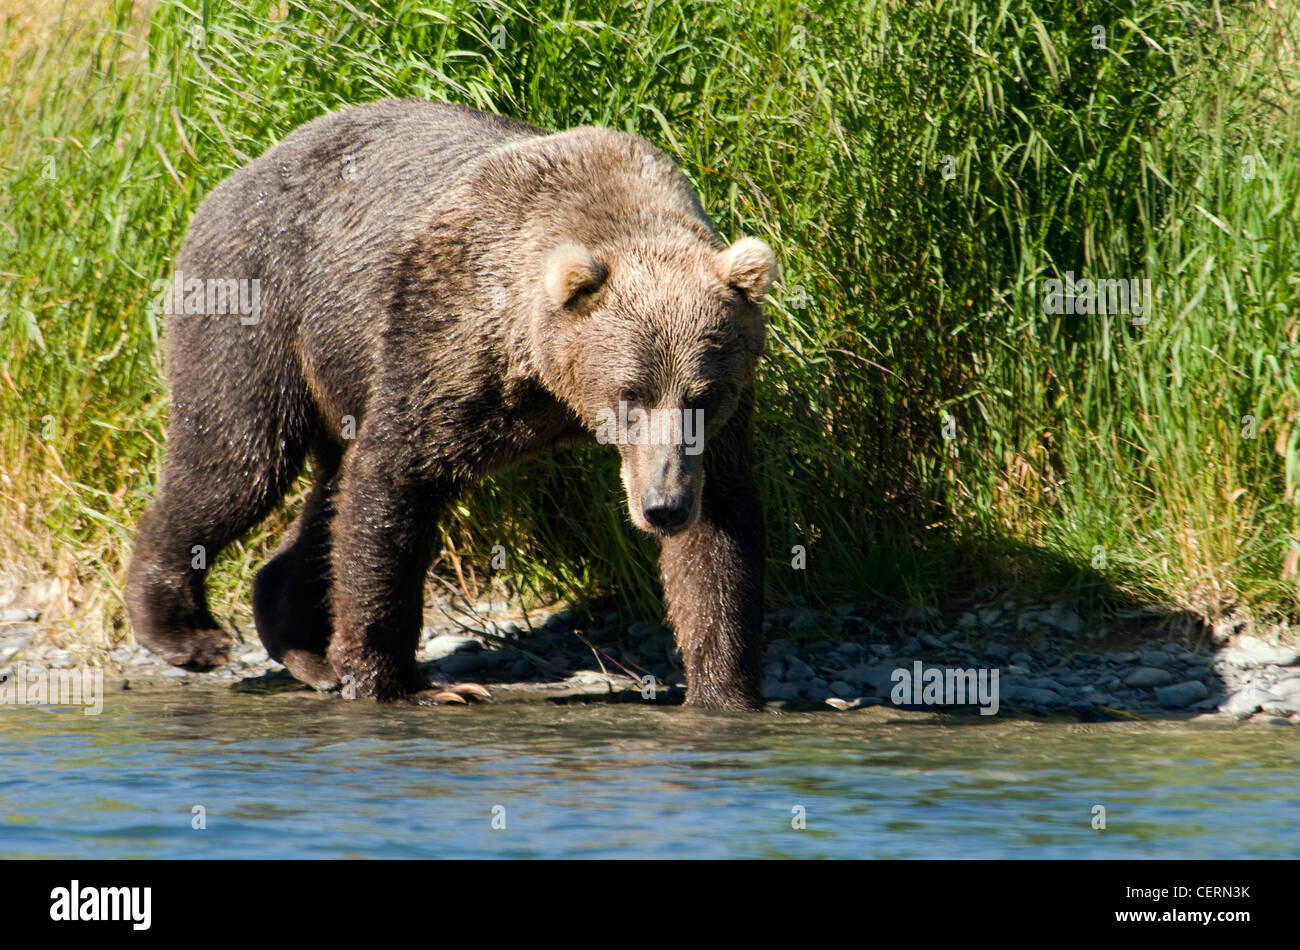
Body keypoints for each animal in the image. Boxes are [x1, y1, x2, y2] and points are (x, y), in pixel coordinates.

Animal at [124, 100, 769, 712]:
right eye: (629, 395)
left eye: (702, 398)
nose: (663, 507)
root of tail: (233, 176)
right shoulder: (444, 331)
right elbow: (394, 479)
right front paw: (399, 682)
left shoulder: (719, 426)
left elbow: (719, 534)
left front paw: (726, 693)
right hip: (259, 299)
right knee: (237, 461)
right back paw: (184, 632)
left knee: (325, 494)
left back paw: (306, 649)